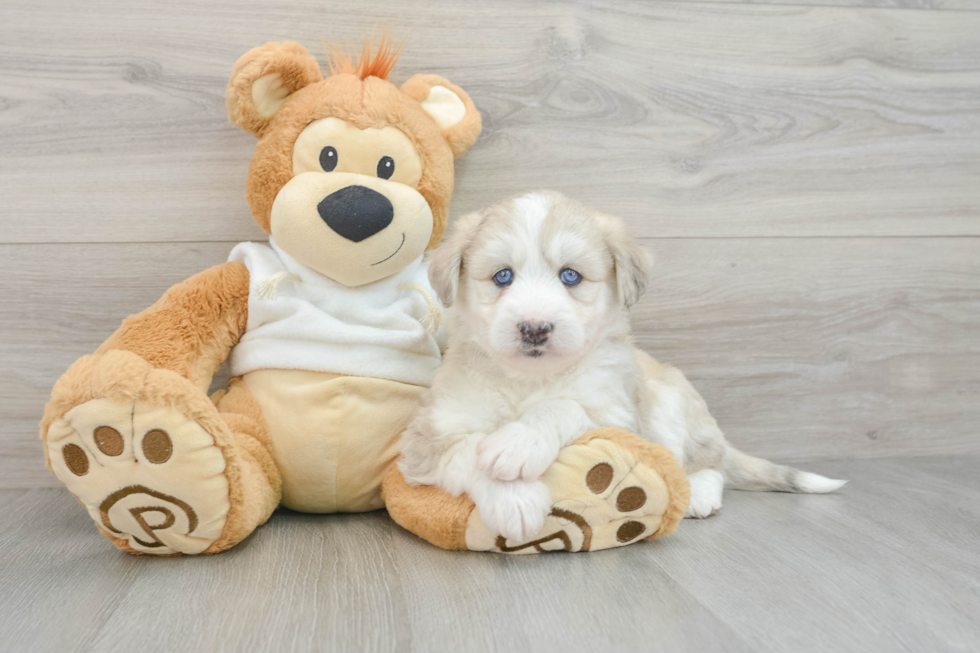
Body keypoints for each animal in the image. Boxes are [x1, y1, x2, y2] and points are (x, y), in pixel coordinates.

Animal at [396, 191, 844, 536]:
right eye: (503, 276)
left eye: (571, 276)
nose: (535, 328)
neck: (531, 381)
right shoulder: (426, 435)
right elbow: (466, 449)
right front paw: (515, 499)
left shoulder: (619, 418)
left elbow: (565, 407)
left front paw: (517, 443)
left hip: (669, 402)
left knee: (709, 461)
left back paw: (698, 493)